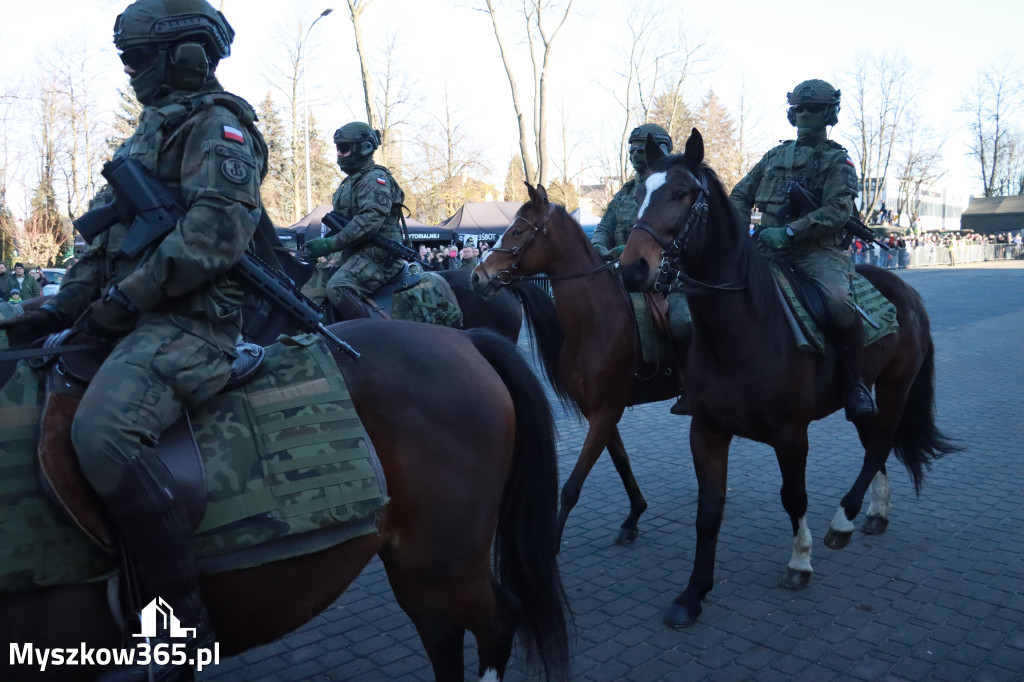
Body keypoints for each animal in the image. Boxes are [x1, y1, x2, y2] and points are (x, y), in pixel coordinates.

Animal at [468, 183, 679, 544]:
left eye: (518, 230)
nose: (477, 276)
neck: (597, 321)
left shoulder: (606, 412)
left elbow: (572, 486)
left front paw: (551, 541)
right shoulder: (599, 411)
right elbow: (622, 462)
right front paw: (634, 516)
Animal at [614, 129, 958, 626]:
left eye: (682, 193)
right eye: (640, 193)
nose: (631, 267)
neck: (741, 329)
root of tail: (908, 292)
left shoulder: (791, 434)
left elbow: (793, 497)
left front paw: (800, 561)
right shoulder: (707, 430)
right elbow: (708, 512)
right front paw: (693, 595)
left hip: (895, 388)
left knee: (878, 445)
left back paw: (843, 521)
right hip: (862, 400)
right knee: (874, 441)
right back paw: (875, 513)